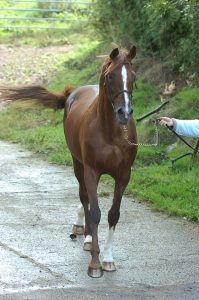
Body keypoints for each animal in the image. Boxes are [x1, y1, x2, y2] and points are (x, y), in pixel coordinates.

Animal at [0, 47, 137, 278]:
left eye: (133, 77)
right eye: (111, 76)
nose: (124, 113)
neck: (111, 132)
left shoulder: (124, 175)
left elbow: (113, 215)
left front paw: (108, 259)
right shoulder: (91, 171)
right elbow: (95, 212)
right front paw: (95, 264)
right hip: (78, 165)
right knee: (85, 198)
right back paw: (89, 238)